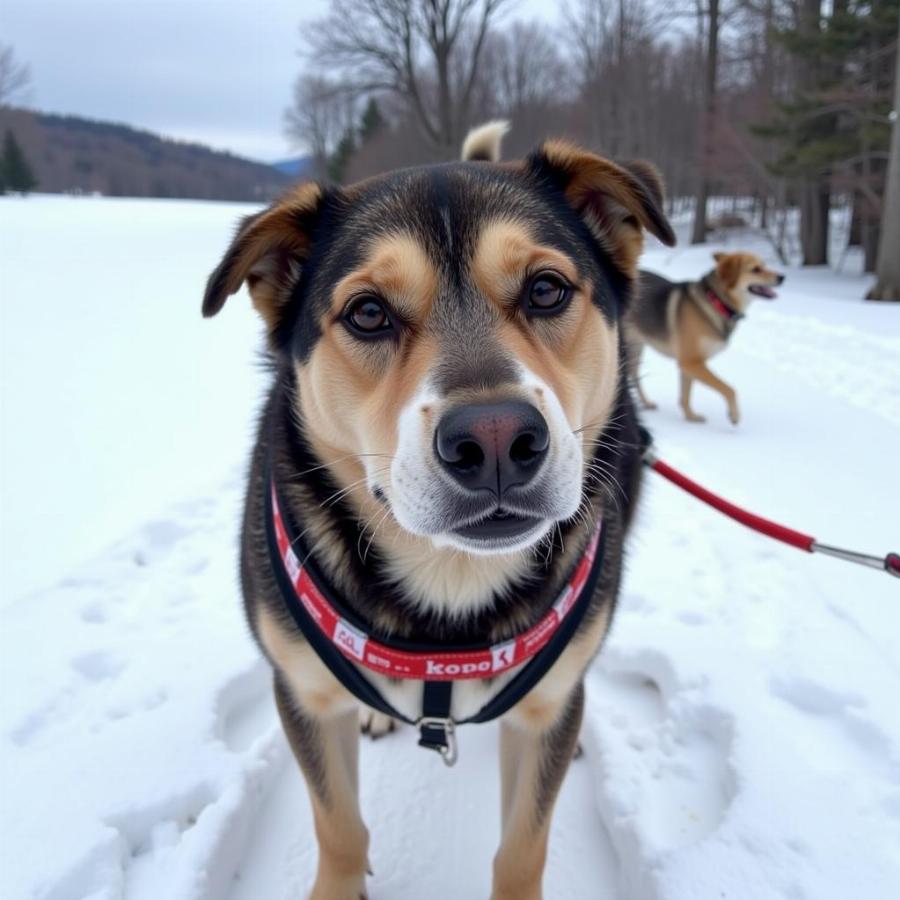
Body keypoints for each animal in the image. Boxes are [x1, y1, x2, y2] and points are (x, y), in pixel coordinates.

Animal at [202, 121, 676, 900]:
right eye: (367, 312)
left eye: (546, 289)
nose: (496, 440)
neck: (450, 589)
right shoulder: (301, 689)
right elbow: (338, 825)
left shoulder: (542, 722)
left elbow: (523, 846)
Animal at [624, 250, 780, 426]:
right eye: (755, 269)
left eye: (764, 265)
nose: (782, 277)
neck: (716, 302)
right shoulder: (692, 362)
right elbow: (729, 389)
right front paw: (734, 415)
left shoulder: (688, 364)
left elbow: (685, 396)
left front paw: (691, 417)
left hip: (636, 345)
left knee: (634, 374)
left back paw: (646, 403)